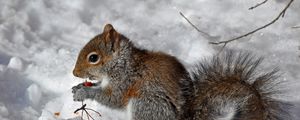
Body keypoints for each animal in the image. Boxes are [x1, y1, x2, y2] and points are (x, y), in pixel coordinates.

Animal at [71, 23, 290, 119]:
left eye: (93, 58)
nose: (74, 73)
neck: (122, 63)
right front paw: (79, 87)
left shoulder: (127, 81)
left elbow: (113, 98)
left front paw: (85, 91)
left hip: (146, 104)